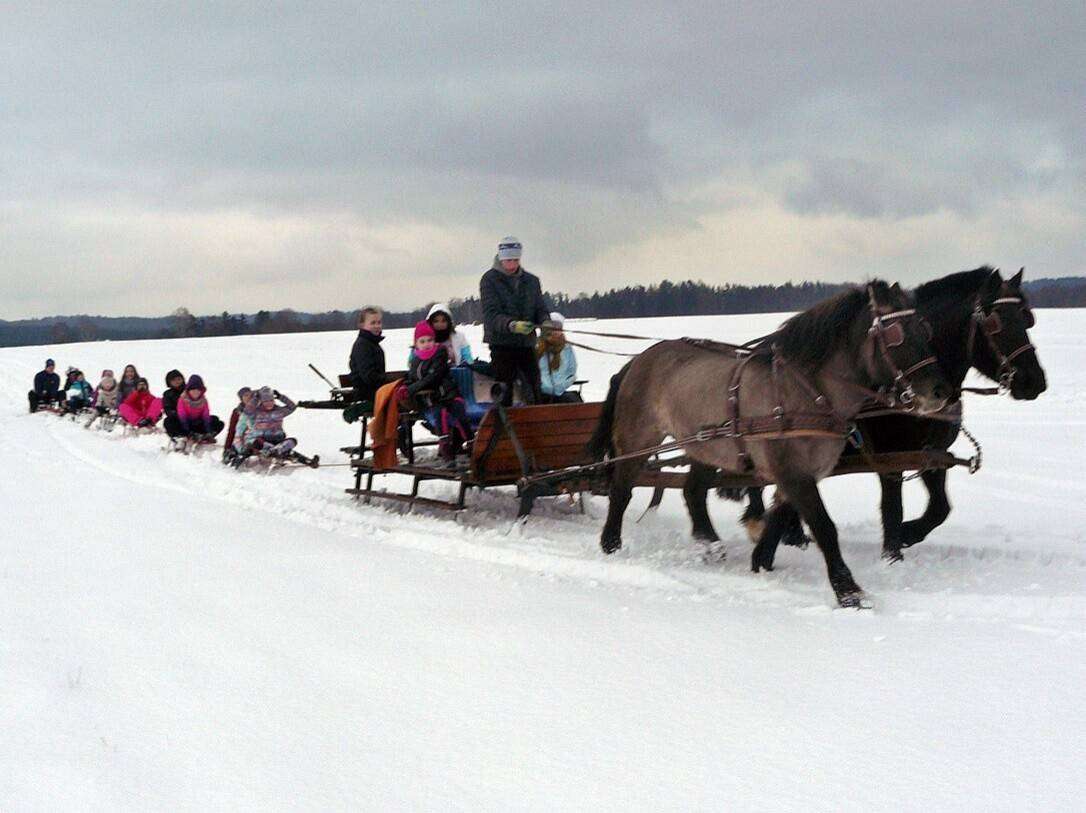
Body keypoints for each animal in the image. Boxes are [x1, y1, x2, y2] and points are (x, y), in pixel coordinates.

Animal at [587, 280, 952, 608]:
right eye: (896, 334)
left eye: (925, 329)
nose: (940, 392)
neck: (805, 393)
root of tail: (637, 360)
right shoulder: (793, 472)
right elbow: (824, 527)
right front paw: (848, 592)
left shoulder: (801, 473)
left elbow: (780, 514)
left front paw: (760, 559)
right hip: (638, 436)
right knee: (622, 489)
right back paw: (611, 545)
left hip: (706, 444)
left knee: (693, 491)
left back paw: (710, 545)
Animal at [742, 267, 1046, 568]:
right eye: (996, 323)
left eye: (1027, 319)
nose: (1035, 382)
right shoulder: (888, 457)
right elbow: (892, 508)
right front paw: (893, 553)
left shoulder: (930, 454)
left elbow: (940, 508)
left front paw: (908, 533)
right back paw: (761, 524)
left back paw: (790, 534)